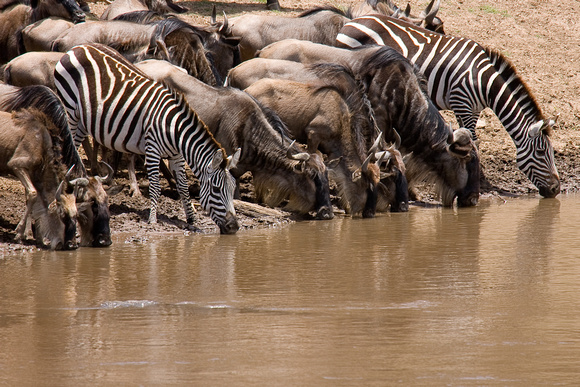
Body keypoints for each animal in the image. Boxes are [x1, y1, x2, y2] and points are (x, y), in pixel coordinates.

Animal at [55, 44, 241, 235]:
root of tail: (78, 47)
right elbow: (156, 187)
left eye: (233, 187)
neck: (175, 130)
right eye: (216, 190)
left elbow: (183, 187)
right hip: (70, 111)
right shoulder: (152, 149)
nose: (234, 227)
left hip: (83, 121)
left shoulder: (177, 156)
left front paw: (191, 219)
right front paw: (152, 219)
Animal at [338, 13, 560, 199]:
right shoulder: (462, 102)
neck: (484, 82)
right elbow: (474, 141)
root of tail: (353, 21)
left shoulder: (473, 109)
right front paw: (481, 180)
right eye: (541, 152)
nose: (556, 189)